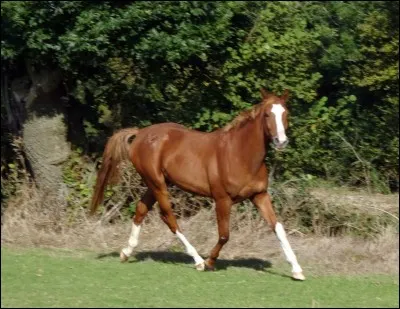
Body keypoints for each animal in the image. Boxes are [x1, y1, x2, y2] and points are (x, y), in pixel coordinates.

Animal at [89, 88, 304, 280]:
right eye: (267, 114)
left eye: (285, 113)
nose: (281, 142)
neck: (240, 155)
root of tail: (141, 133)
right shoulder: (222, 199)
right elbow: (224, 235)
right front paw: (210, 262)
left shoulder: (259, 196)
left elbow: (278, 228)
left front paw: (297, 270)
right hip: (157, 183)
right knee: (168, 217)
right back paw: (198, 261)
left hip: (154, 184)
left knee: (141, 209)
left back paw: (126, 252)